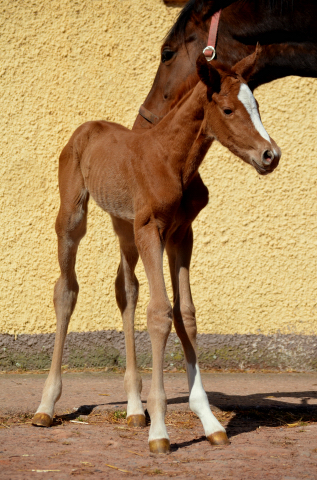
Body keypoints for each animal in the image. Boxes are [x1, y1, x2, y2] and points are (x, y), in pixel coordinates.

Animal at [31, 52, 278, 454]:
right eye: (228, 109)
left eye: (257, 106)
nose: (270, 154)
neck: (171, 159)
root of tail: (87, 127)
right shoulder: (151, 230)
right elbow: (160, 313)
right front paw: (160, 431)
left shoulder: (181, 234)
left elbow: (186, 315)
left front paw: (209, 421)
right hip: (74, 216)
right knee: (66, 290)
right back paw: (46, 405)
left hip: (123, 224)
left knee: (126, 290)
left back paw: (134, 407)